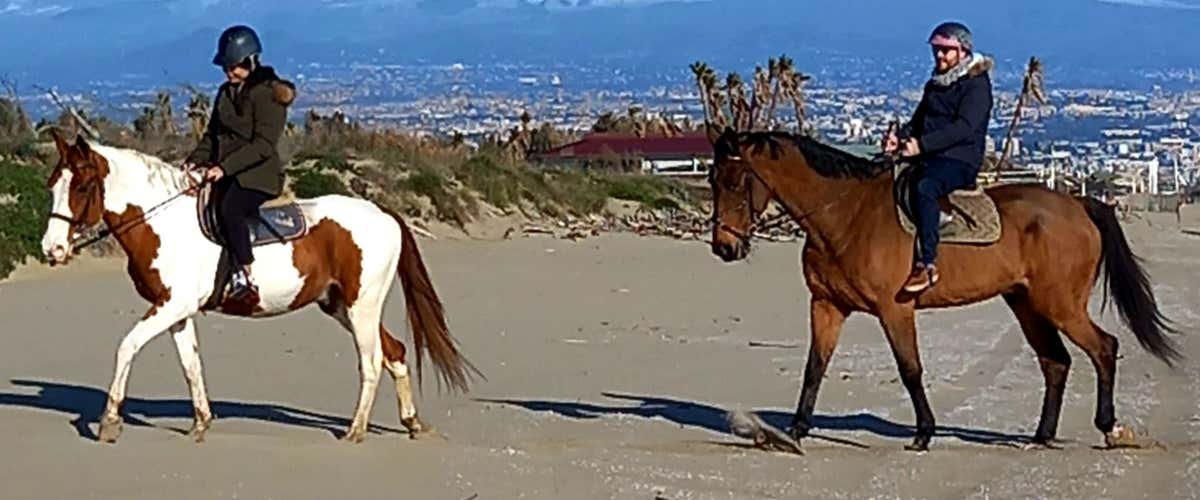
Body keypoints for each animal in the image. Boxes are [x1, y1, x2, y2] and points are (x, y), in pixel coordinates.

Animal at [39, 131, 480, 444]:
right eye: (52, 185)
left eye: (81, 188)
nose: (51, 249)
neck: (163, 223)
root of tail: (383, 213)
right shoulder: (177, 311)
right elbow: (191, 365)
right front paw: (201, 423)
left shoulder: (171, 306)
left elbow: (127, 346)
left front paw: (109, 422)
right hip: (341, 306)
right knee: (395, 352)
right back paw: (411, 423)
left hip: (362, 305)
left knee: (371, 362)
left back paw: (355, 431)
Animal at [704, 126, 1182, 451]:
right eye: (711, 180)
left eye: (735, 181)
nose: (724, 247)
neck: (845, 216)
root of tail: (1079, 205)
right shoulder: (826, 306)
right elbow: (814, 368)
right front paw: (794, 432)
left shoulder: (894, 310)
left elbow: (910, 369)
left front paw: (923, 434)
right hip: (1027, 304)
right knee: (1056, 361)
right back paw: (1041, 435)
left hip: (1059, 303)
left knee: (1103, 347)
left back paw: (1109, 427)